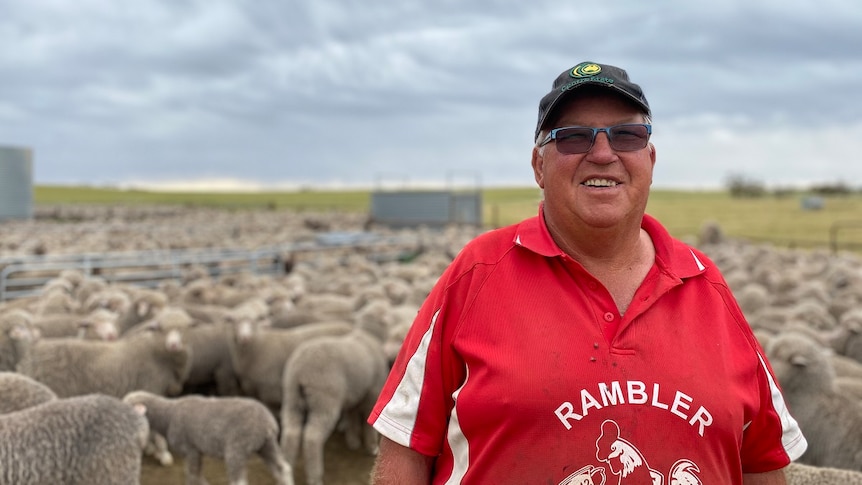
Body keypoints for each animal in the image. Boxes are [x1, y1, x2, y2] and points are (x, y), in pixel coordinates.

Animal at [123, 390, 296, 484]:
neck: (168, 415)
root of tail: (267, 423)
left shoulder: (190, 449)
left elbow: (192, 475)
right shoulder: (196, 451)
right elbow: (196, 475)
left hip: (237, 447)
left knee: (239, 481)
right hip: (267, 445)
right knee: (283, 468)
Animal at [280, 318, 388, 484]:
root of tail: (301, 370)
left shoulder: (353, 393)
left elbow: (352, 416)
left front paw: (353, 441)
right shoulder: (372, 391)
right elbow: (368, 424)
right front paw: (372, 447)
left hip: (293, 396)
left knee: (291, 432)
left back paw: (287, 470)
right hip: (324, 399)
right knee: (313, 438)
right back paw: (315, 476)